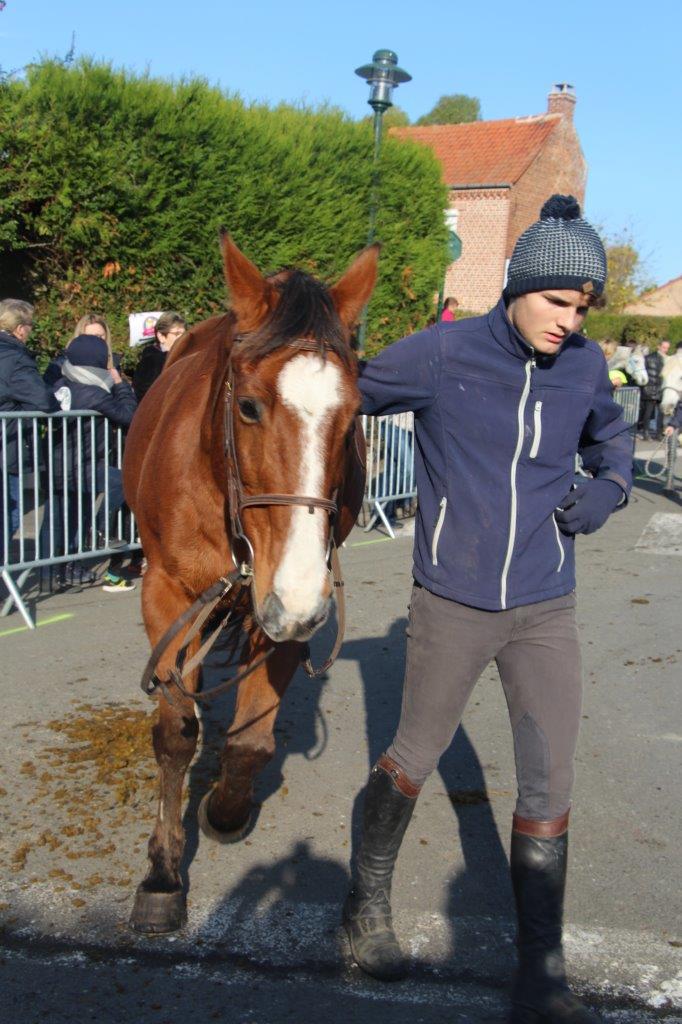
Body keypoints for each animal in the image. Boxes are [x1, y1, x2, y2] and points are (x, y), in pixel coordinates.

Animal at [122, 235, 376, 933]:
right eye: (248, 406)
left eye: (354, 416)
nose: (297, 599)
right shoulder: (169, 596)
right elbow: (175, 731)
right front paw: (162, 870)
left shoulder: (288, 607)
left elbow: (251, 743)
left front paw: (224, 811)